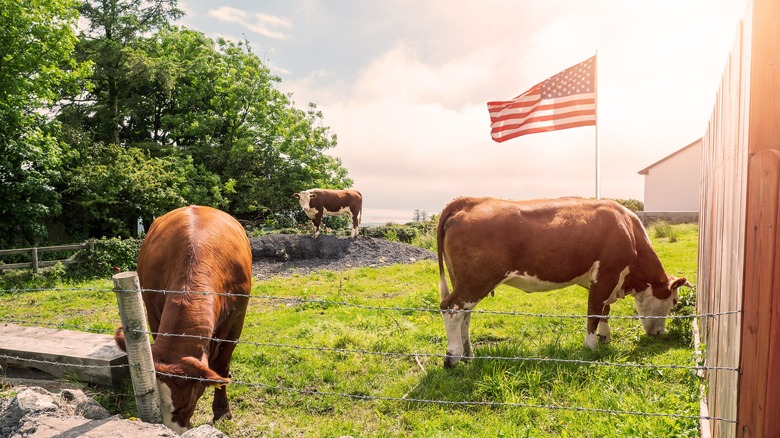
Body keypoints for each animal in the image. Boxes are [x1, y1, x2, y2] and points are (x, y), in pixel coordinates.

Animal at [116, 205, 251, 432]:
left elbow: (222, 368)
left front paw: (222, 412)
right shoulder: (152, 310)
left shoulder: (236, 321)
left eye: (186, 403)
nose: (172, 431)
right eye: (156, 399)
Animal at [436, 197, 692, 368]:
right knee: (451, 309)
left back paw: (469, 354)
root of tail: (470, 200)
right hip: (476, 280)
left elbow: (604, 311)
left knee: (465, 315)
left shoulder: (606, 282)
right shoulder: (605, 277)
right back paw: (453, 357)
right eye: (674, 301)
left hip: (467, 281)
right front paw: (590, 347)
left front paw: (605, 337)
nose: (659, 333)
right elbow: (593, 313)